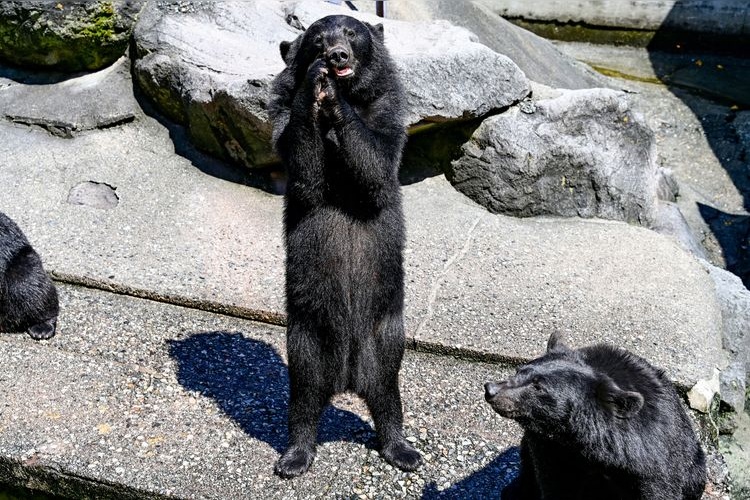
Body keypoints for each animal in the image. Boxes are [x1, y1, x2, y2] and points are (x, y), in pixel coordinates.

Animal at [268, 14, 422, 478]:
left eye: (353, 34)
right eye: (318, 40)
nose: (336, 56)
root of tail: (348, 378)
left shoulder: (389, 109)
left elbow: (376, 167)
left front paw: (333, 98)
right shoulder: (281, 113)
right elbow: (305, 169)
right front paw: (316, 84)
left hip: (385, 330)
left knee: (388, 392)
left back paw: (401, 449)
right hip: (306, 336)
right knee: (302, 396)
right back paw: (295, 456)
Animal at [485, 331, 707, 500]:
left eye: (539, 386)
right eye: (518, 370)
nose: (491, 389)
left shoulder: (650, 463)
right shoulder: (548, 447)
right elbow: (555, 482)